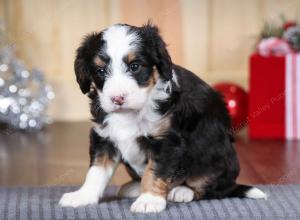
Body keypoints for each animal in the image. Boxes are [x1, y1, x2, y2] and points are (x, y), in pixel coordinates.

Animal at [59, 22, 268, 213]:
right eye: (100, 71)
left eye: (135, 66)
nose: (117, 98)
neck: (132, 112)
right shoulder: (104, 137)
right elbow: (96, 170)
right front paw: (83, 196)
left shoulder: (166, 140)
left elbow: (155, 171)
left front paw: (149, 200)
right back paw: (135, 187)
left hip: (217, 155)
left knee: (213, 188)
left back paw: (182, 191)